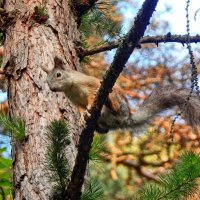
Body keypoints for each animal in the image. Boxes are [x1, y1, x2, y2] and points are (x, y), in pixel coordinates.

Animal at [47, 57, 200, 134]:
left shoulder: (90, 84)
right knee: (105, 129)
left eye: (58, 74)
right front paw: (81, 118)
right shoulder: (74, 101)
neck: (71, 87)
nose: (52, 88)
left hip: (117, 99)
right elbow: (80, 109)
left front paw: (89, 108)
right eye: (47, 82)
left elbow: (91, 96)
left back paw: (111, 104)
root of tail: (127, 118)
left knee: (115, 106)